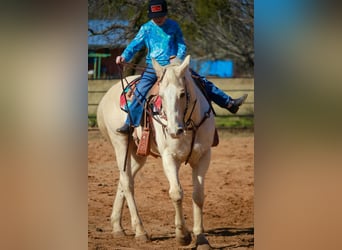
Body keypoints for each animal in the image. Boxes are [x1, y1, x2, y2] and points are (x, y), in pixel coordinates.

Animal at [96, 54, 215, 248]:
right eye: (160, 96)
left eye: (182, 93)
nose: (174, 131)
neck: (189, 124)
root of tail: (107, 95)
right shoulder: (169, 158)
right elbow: (176, 193)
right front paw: (183, 236)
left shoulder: (203, 157)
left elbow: (198, 195)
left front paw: (201, 238)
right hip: (120, 143)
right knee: (127, 183)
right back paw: (140, 231)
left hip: (137, 154)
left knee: (123, 180)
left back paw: (117, 227)